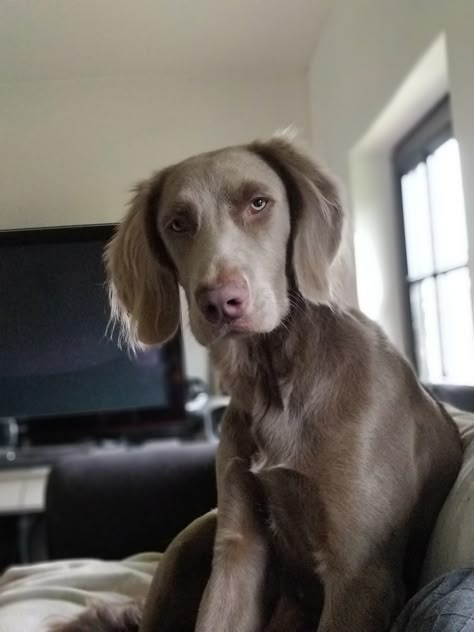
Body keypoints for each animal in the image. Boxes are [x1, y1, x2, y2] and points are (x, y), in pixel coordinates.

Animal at [56, 136, 462, 628]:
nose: (220, 302)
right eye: (177, 223)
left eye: (258, 203)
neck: (276, 379)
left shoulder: (362, 571)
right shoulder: (237, 547)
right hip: (195, 534)